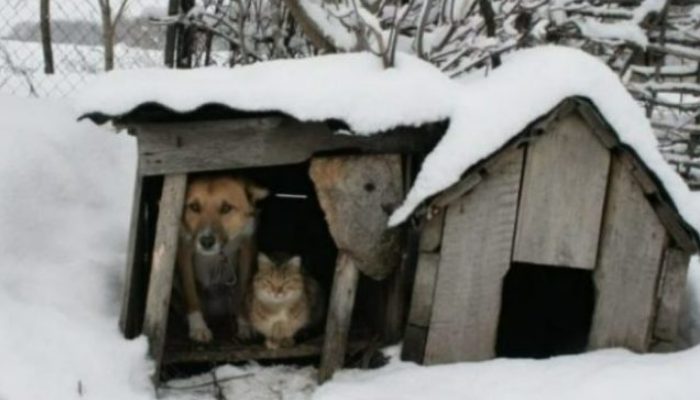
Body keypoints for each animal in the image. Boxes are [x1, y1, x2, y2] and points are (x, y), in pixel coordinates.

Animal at [178, 177, 268, 342]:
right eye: (194, 207)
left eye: (226, 208)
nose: (206, 241)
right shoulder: (184, 250)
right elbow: (190, 292)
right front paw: (198, 327)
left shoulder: (247, 249)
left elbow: (243, 291)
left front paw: (245, 324)